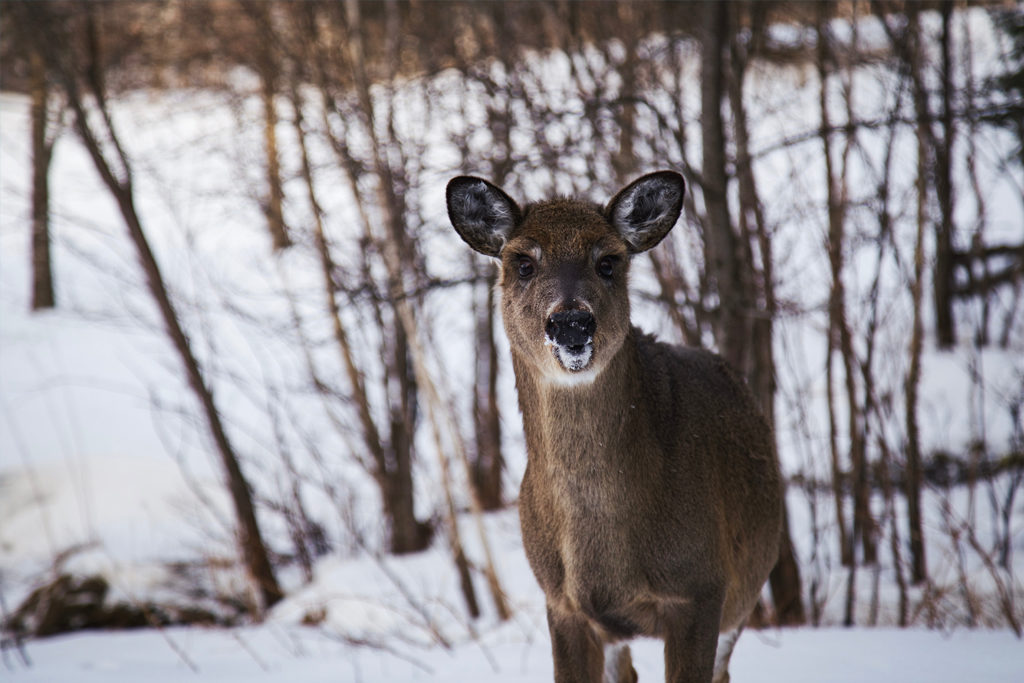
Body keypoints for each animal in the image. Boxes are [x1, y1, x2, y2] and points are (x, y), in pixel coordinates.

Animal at [444, 172, 778, 683]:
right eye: (523, 262)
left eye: (607, 262)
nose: (571, 323)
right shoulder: (563, 604)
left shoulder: (701, 589)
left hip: (742, 599)